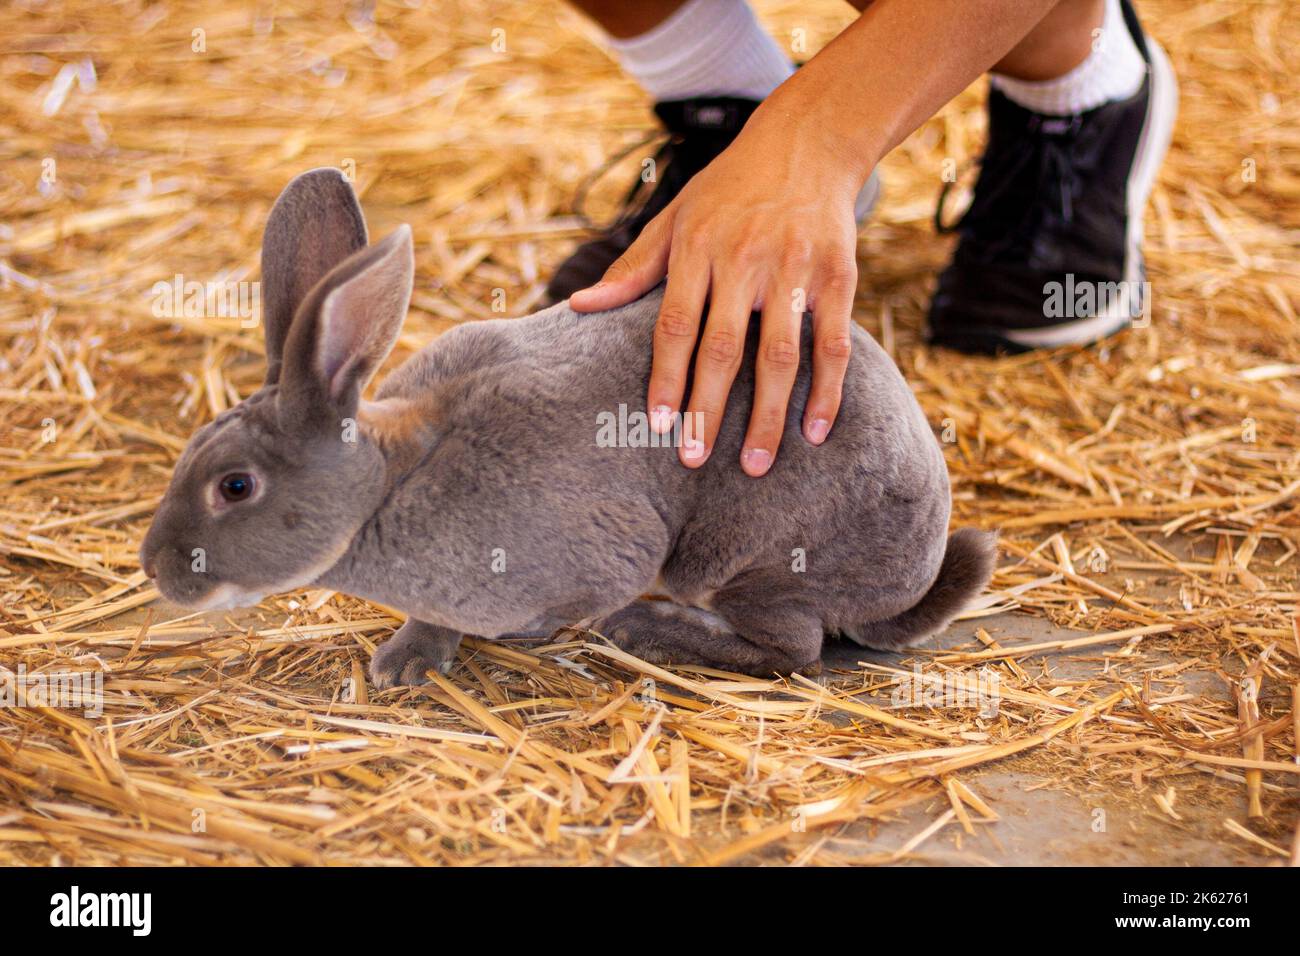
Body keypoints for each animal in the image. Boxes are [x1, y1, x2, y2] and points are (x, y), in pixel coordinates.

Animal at [140, 167, 997, 688]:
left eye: (236, 486)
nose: (155, 566)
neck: (387, 484)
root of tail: (917, 568)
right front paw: (406, 663)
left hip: (753, 563)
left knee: (794, 650)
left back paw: (642, 626)